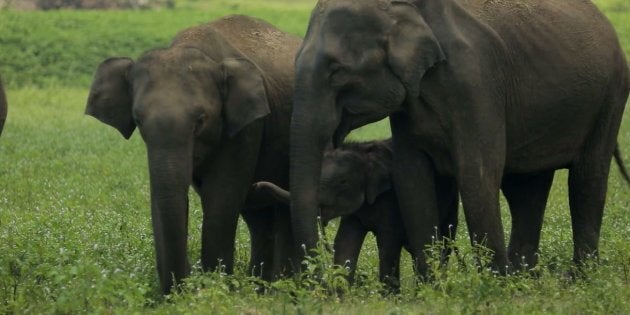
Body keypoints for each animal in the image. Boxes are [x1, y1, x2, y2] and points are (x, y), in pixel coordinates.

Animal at [256, 139, 460, 292]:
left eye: (343, 182)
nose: (256, 185)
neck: (363, 153)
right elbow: (345, 241)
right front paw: (340, 296)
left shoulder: (391, 198)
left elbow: (388, 242)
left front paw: (388, 297)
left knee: (444, 238)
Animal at [290, 0, 628, 276]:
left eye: (336, 70)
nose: (319, 281)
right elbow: (412, 178)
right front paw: (431, 287)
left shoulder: (475, 82)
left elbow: (476, 173)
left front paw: (495, 285)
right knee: (527, 188)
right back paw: (526, 279)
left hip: (611, 95)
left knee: (587, 178)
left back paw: (577, 278)